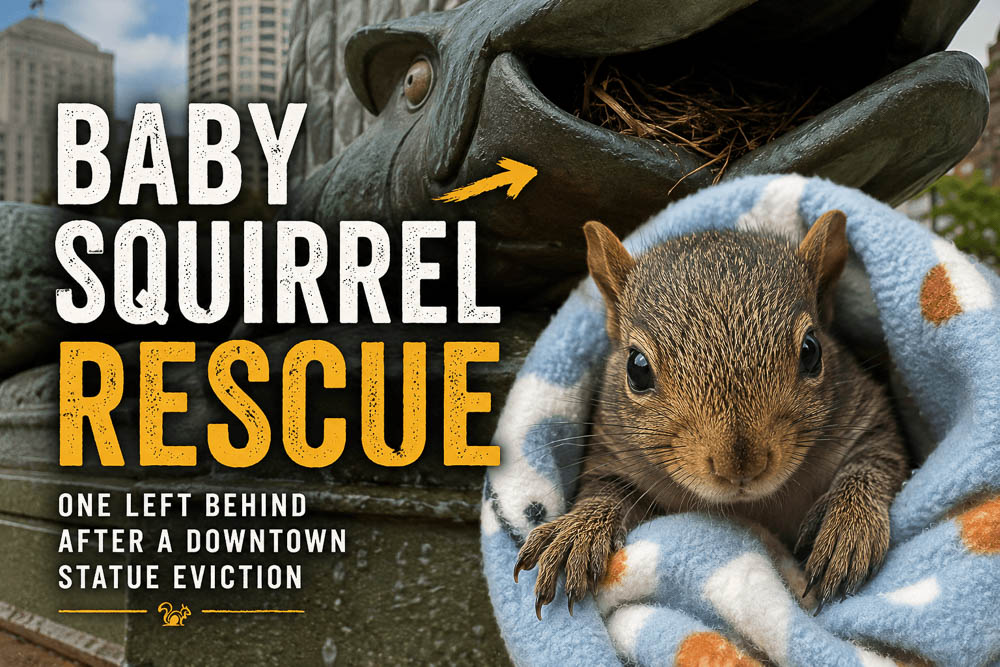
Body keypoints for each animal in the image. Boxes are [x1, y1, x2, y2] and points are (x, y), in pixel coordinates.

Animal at [514, 210, 909, 619]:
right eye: (637, 368)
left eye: (812, 350)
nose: (740, 466)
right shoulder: (612, 453)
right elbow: (603, 488)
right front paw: (578, 530)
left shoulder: (867, 413)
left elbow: (876, 460)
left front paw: (847, 526)